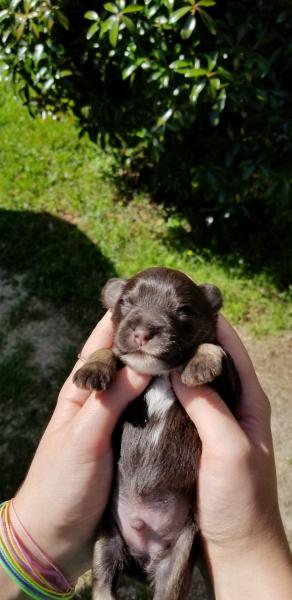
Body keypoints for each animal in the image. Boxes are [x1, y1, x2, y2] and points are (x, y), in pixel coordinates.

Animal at [73, 268, 240, 600]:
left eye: (184, 310)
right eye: (126, 302)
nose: (142, 333)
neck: (159, 374)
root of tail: (141, 561)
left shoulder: (232, 397)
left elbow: (220, 355)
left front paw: (202, 359)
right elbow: (109, 350)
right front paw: (94, 368)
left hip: (179, 555)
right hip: (107, 537)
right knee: (103, 584)